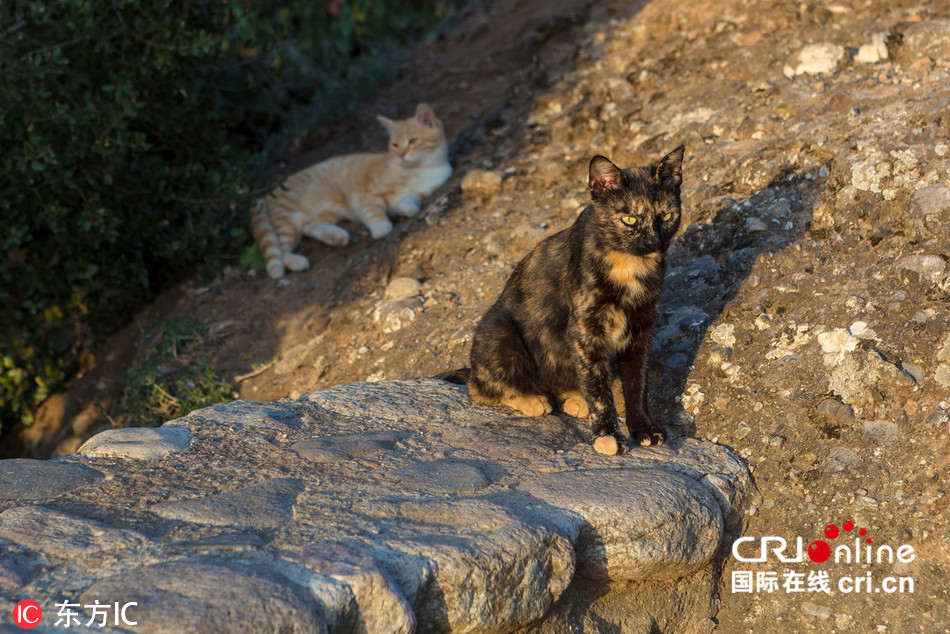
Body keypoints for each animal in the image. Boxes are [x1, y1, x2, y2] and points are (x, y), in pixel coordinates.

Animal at [249, 103, 450, 276]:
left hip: (329, 212)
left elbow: (410, 201)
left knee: (309, 227)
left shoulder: (420, 191)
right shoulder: (368, 197)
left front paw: (404, 209)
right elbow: (374, 211)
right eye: (395, 145)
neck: (419, 170)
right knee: (282, 252)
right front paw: (381, 226)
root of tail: (266, 194)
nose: (401, 155)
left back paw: (336, 236)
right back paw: (298, 261)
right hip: (288, 220)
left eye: (413, 140)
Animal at [468, 146, 684, 452]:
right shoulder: (585, 330)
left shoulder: (640, 329)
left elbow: (636, 383)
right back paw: (533, 400)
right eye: (629, 219)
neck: (629, 266)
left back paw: (576, 401)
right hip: (498, 330)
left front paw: (643, 427)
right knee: (480, 389)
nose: (653, 242)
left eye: (666, 216)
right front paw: (608, 434)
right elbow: (599, 391)